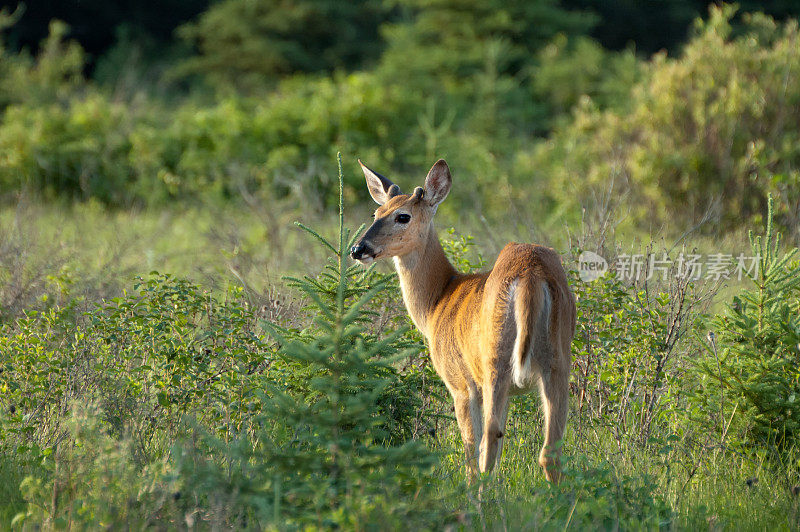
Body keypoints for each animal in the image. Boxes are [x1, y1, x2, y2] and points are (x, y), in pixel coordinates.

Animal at [350, 158, 576, 482]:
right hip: (558, 360)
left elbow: (469, 448)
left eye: (403, 216)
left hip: (495, 362)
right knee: (550, 451)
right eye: (375, 213)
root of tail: (531, 274)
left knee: (488, 443)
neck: (437, 302)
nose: (359, 249)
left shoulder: (460, 384)